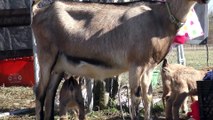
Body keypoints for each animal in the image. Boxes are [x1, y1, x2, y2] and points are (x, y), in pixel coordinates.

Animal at [32, 0, 210, 119]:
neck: (159, 17)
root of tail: (38, 12)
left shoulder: (149, 67)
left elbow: (148, 97)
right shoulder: (136, 64)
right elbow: (135, 98)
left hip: (58, 67)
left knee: (50, 94)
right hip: (46, 57)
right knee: (40, 92)